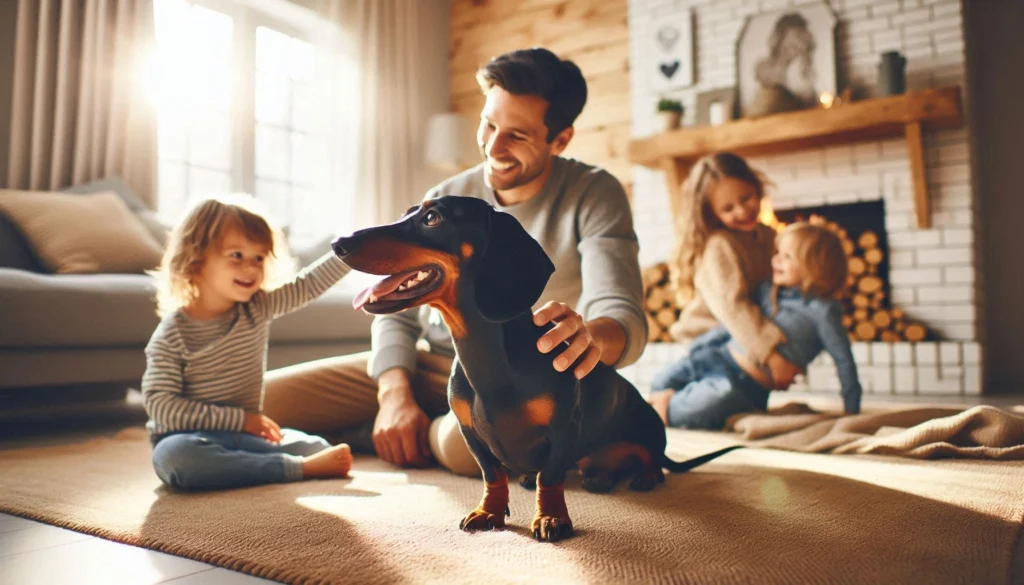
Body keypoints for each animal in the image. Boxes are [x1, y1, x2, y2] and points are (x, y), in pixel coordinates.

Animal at [331, 197, 741, 545]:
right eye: (408, 212)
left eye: (433, 218)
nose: (338, 242)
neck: (488, 356)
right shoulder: (470, 433)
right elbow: (493, 474)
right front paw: (489, 512)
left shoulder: (564, 427)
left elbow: (551, 476)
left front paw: (551, 518)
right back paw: (596, 476)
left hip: (649, 424)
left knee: (652, 456)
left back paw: (644, 476)